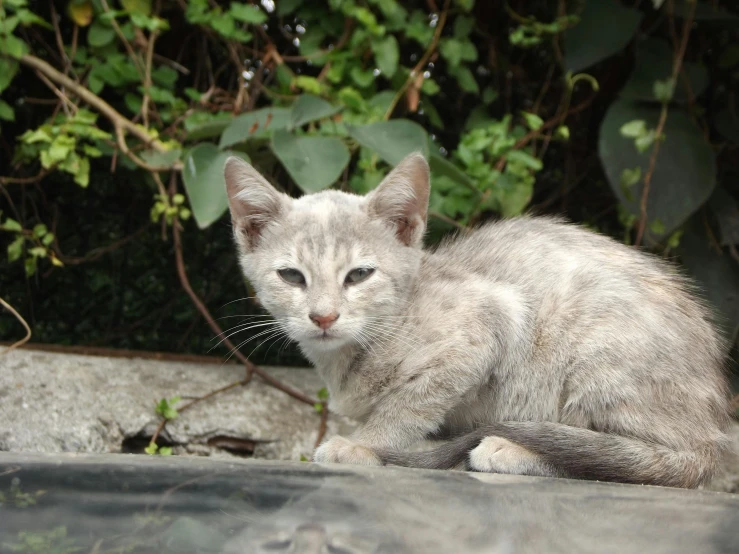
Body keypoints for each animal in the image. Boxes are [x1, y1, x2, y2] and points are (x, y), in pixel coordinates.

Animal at [223, 151, 732, 488]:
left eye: (360, 275)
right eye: (291, 276)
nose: (324, 316)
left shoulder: (490, 323)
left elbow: (408, 405)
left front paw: (363, 444)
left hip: (596, 349)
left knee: (644, 462)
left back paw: (511, 450)